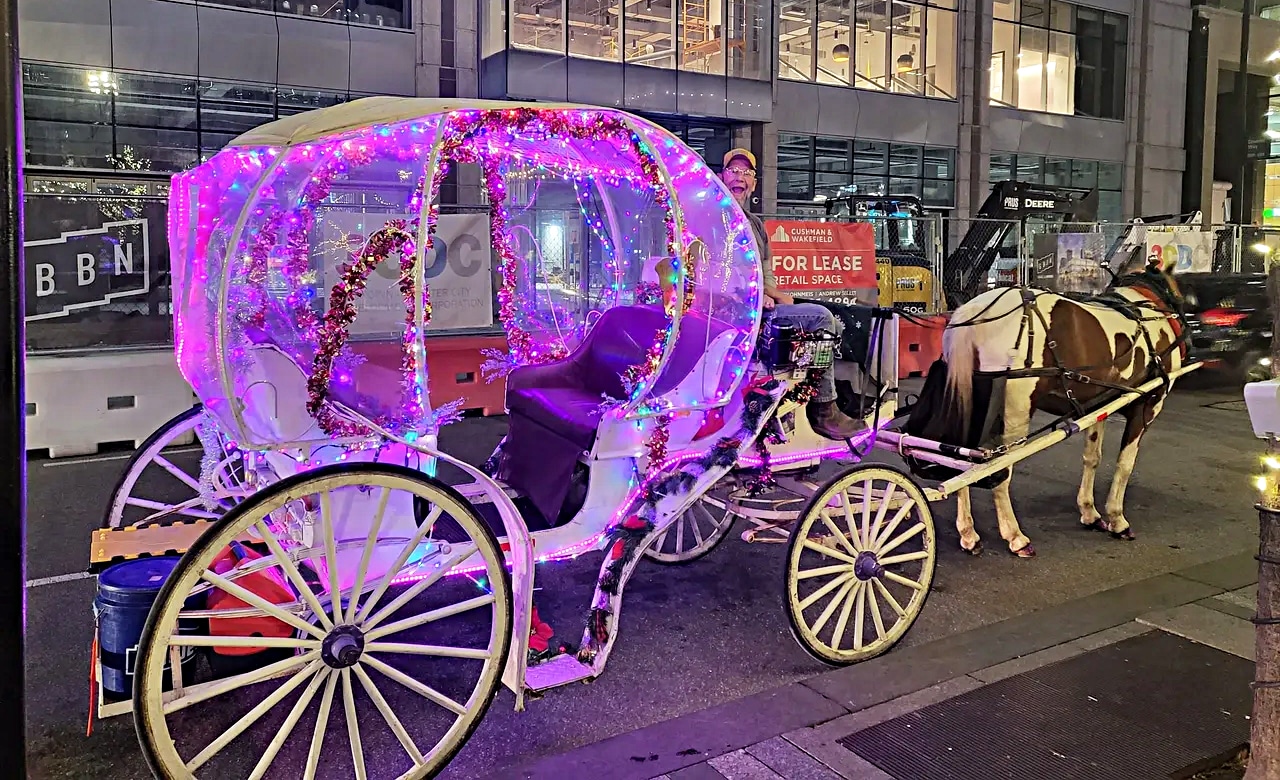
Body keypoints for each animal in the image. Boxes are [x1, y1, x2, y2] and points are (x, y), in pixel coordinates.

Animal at [936, 261, 1182, 553]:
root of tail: (972, 314)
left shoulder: (1099, 407)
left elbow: (1092, 458)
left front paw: (1089, 512)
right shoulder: (1146, 406)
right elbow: (1125, 464)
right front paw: (1117, 519)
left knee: (963, 463)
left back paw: (969, 534)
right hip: (1014, 417)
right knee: (999, 470)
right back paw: (1015, 536)